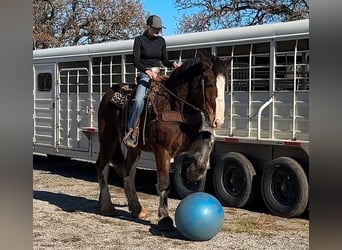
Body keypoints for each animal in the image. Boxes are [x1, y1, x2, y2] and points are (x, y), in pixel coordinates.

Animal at [95, 51, 231, 231]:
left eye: (225, 85)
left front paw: (193, 172)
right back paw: (107, 207)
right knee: (102, 167)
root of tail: (108, 94)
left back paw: (137, 209)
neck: (175, 105)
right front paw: (165, 218)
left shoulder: (185, 144)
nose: (218, 121)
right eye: (209, 83)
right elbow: (164, 182)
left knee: (128, 172)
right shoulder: (162, 150)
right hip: (108, 139)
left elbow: (208, 139)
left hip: (134, 148)